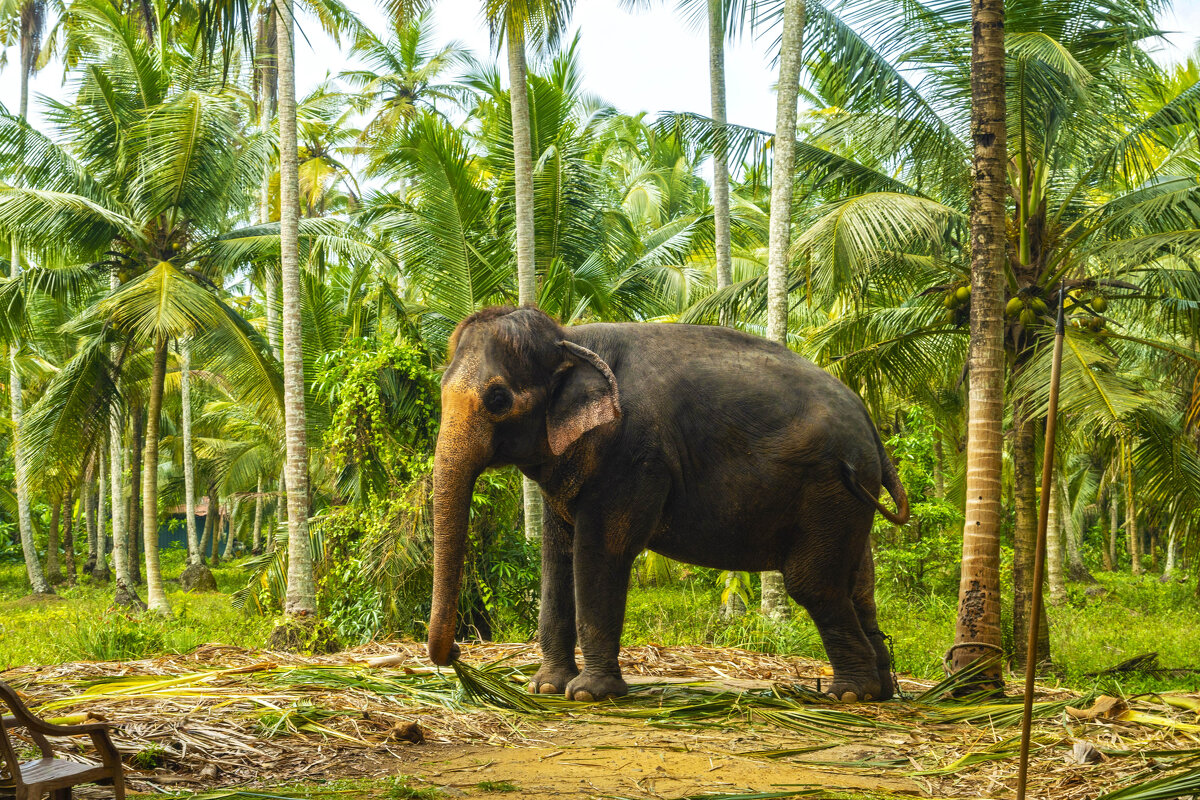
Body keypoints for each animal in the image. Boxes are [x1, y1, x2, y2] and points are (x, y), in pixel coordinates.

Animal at [429, 304, 907, 700]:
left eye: (498, 399)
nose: (455, 652)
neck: (569, 337)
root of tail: (871, 427)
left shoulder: (633, 455)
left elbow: (602, 551)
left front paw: (588, 694)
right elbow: (556, 557)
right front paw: (545, 688)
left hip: (826, 488)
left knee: (813, 583)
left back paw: (849, 695)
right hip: (848, 498)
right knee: (859, 582)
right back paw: (879, 691)